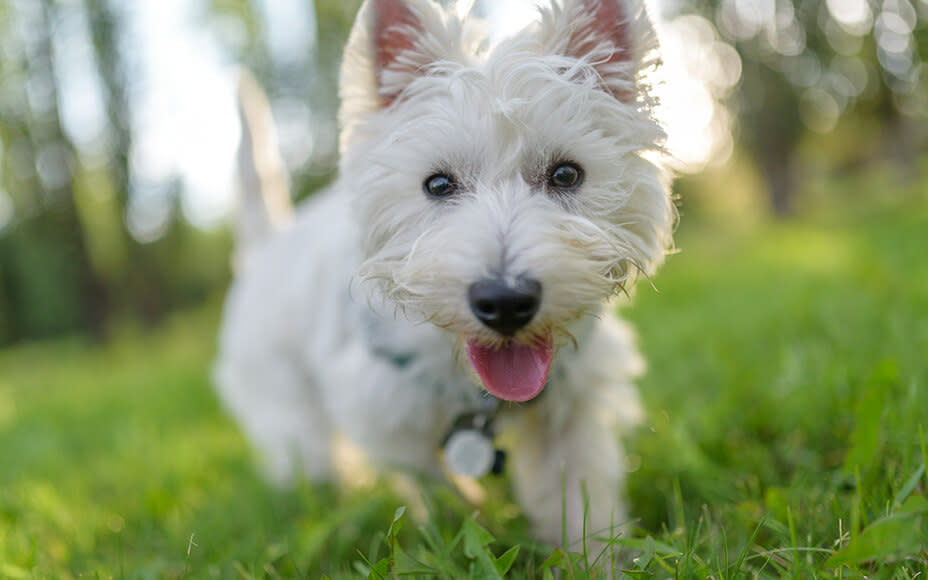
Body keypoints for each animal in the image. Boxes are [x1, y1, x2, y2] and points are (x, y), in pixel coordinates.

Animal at [214, 0, 672, 548]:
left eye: (566, 174)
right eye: (437, 184)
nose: (505, 302)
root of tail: (266, 245)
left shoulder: (572, 404)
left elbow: (578, 498)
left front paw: (595, 555)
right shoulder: (385, 414)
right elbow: (441, 489)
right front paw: (469, 534)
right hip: (290, 413)